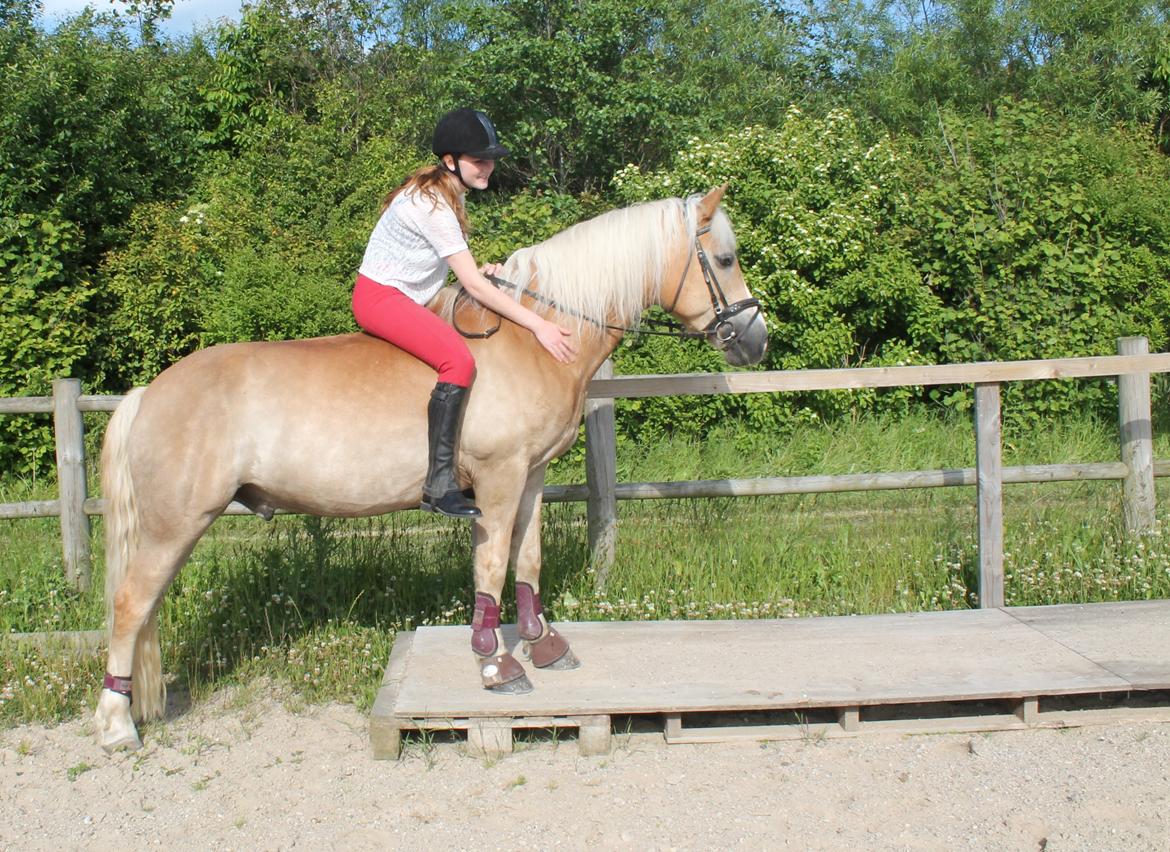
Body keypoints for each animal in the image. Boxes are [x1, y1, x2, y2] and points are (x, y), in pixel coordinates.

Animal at [93, 182, 767, 749]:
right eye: (725, 259)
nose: (756, 340)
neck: (535, 337)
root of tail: (150, 392)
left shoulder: (532, 477)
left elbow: (527, 560)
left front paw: (543, 645)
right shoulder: (498, 478)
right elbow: (491, 565)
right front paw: (495, 663)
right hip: (175, 524)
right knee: (129, 607)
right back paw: (116, 723)